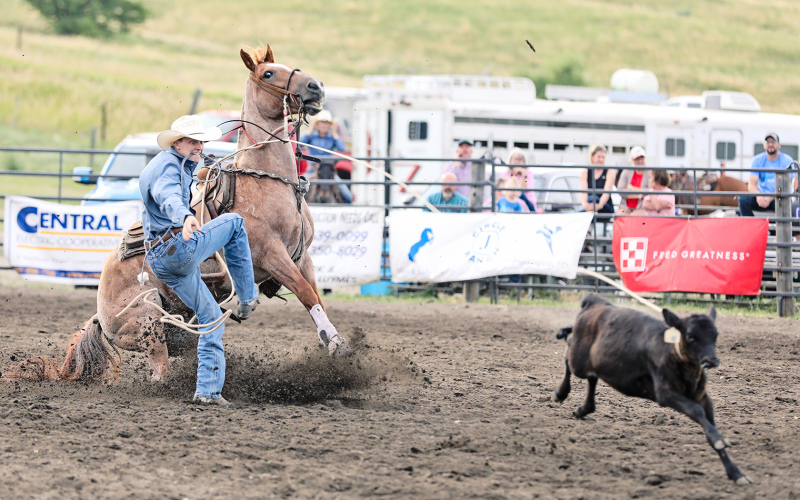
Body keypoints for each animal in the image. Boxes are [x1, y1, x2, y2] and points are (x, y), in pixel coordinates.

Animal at [552, 293, 751, 485]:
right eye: (691, 336)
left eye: (715, 335)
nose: (711, 360)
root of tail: (596, 302)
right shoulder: (665, 394)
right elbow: (696, 411)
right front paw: (719, 440)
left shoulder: (703, 397)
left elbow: (709, 421)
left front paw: (736, 473)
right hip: (578, 359)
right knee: (568, 355)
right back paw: (560, 393)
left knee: (591, 378)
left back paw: (583, 410)